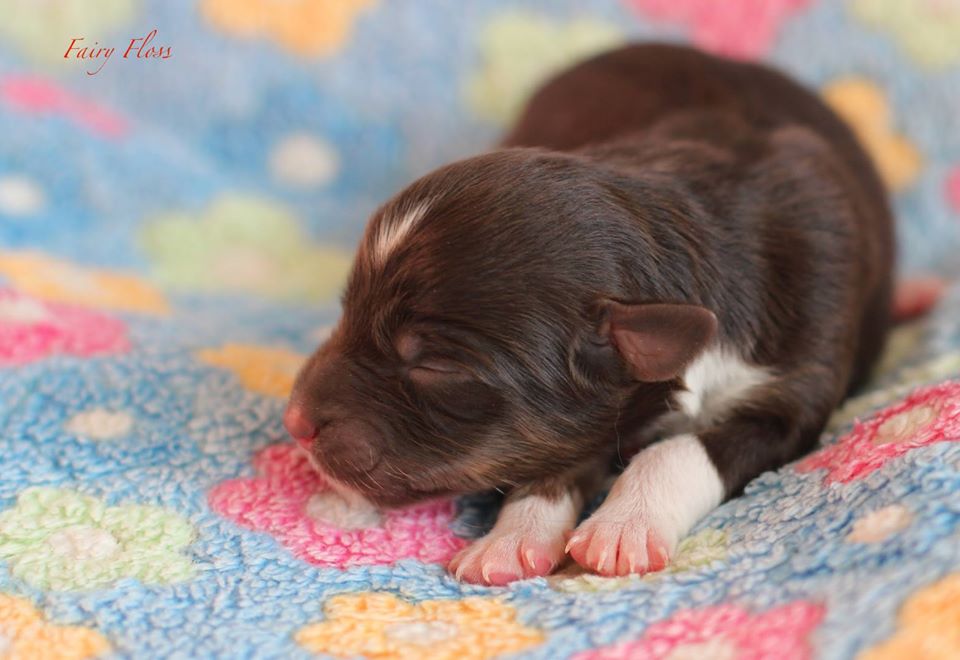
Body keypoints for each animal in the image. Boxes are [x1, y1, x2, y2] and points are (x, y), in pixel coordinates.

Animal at [282, 43, 896, 584]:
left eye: (435, 368)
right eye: (347, 308)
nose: (294, 421)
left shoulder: (794, 392)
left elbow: (677, 449)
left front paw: (625, 525)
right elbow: (553, 456)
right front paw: (512, 538)